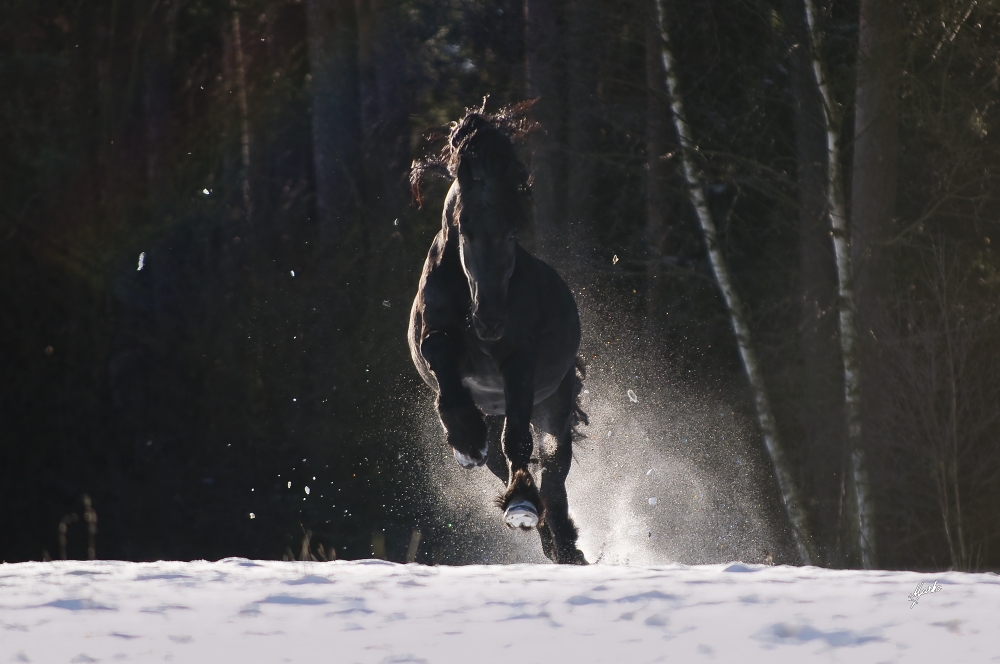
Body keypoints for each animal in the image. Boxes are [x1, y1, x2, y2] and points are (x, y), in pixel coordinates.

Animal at [408, 104, 588, 564]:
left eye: (512, 231)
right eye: (464, 228)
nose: (489, 320)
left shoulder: (519, 362)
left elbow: (519, 442)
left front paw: (521, 504)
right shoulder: (436, 336)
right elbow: (439, 350)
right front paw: (465, 438)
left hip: (555, 406)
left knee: (553, 471)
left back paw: (556, 536)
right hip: (498, 411)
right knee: (508, 460)